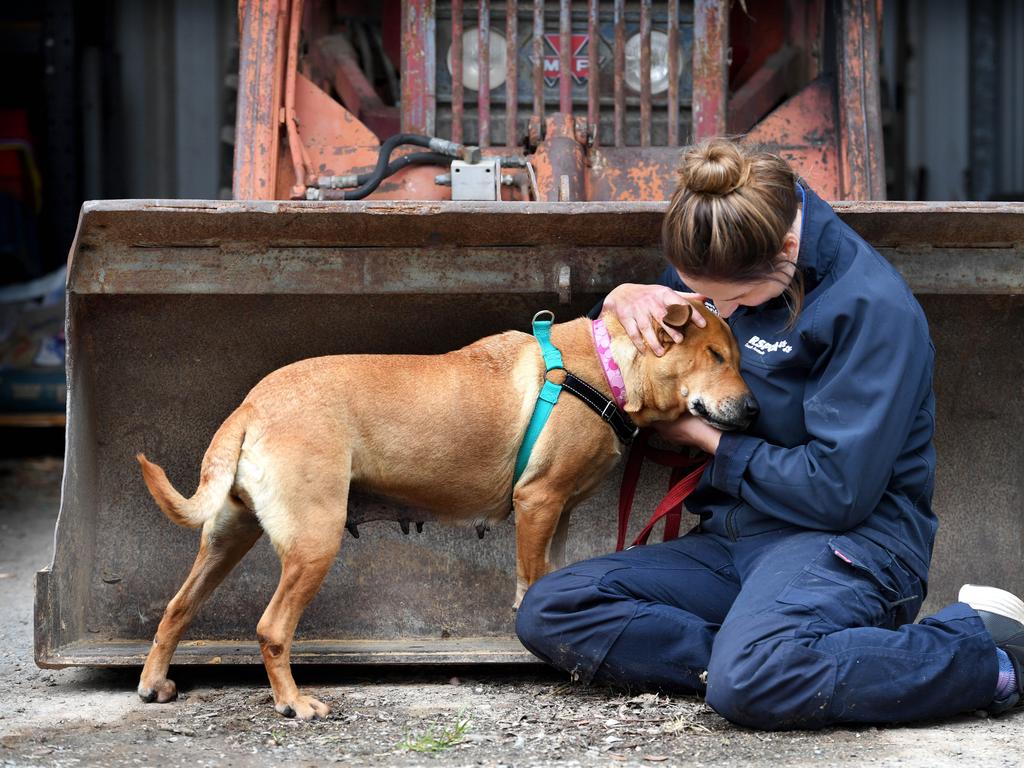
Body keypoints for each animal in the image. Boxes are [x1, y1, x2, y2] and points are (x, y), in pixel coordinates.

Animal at [134, 305, 753, 720]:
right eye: (715, 356)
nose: (751, 411)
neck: (606, 368)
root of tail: (252, 405)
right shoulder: (538, 503)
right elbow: (531, 585)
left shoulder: (560, 514)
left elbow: (551, 575)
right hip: (314, 541)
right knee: (271, 628)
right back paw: (293, 703)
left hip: (227, 537)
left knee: (176, 608)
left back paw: (153, 683)